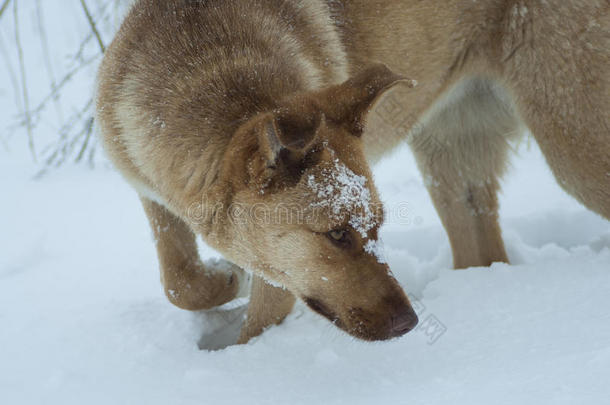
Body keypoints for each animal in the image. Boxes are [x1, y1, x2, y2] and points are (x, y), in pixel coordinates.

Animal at [97, 0, 604, 342]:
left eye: (378, 224)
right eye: (337, 234)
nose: (409, 323)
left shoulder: (280, 276)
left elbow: (252, 328)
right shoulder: (152, 192)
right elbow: (180, 283)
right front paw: (222, 279)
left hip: (574, 147)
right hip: (451, 161)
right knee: (481, 249)